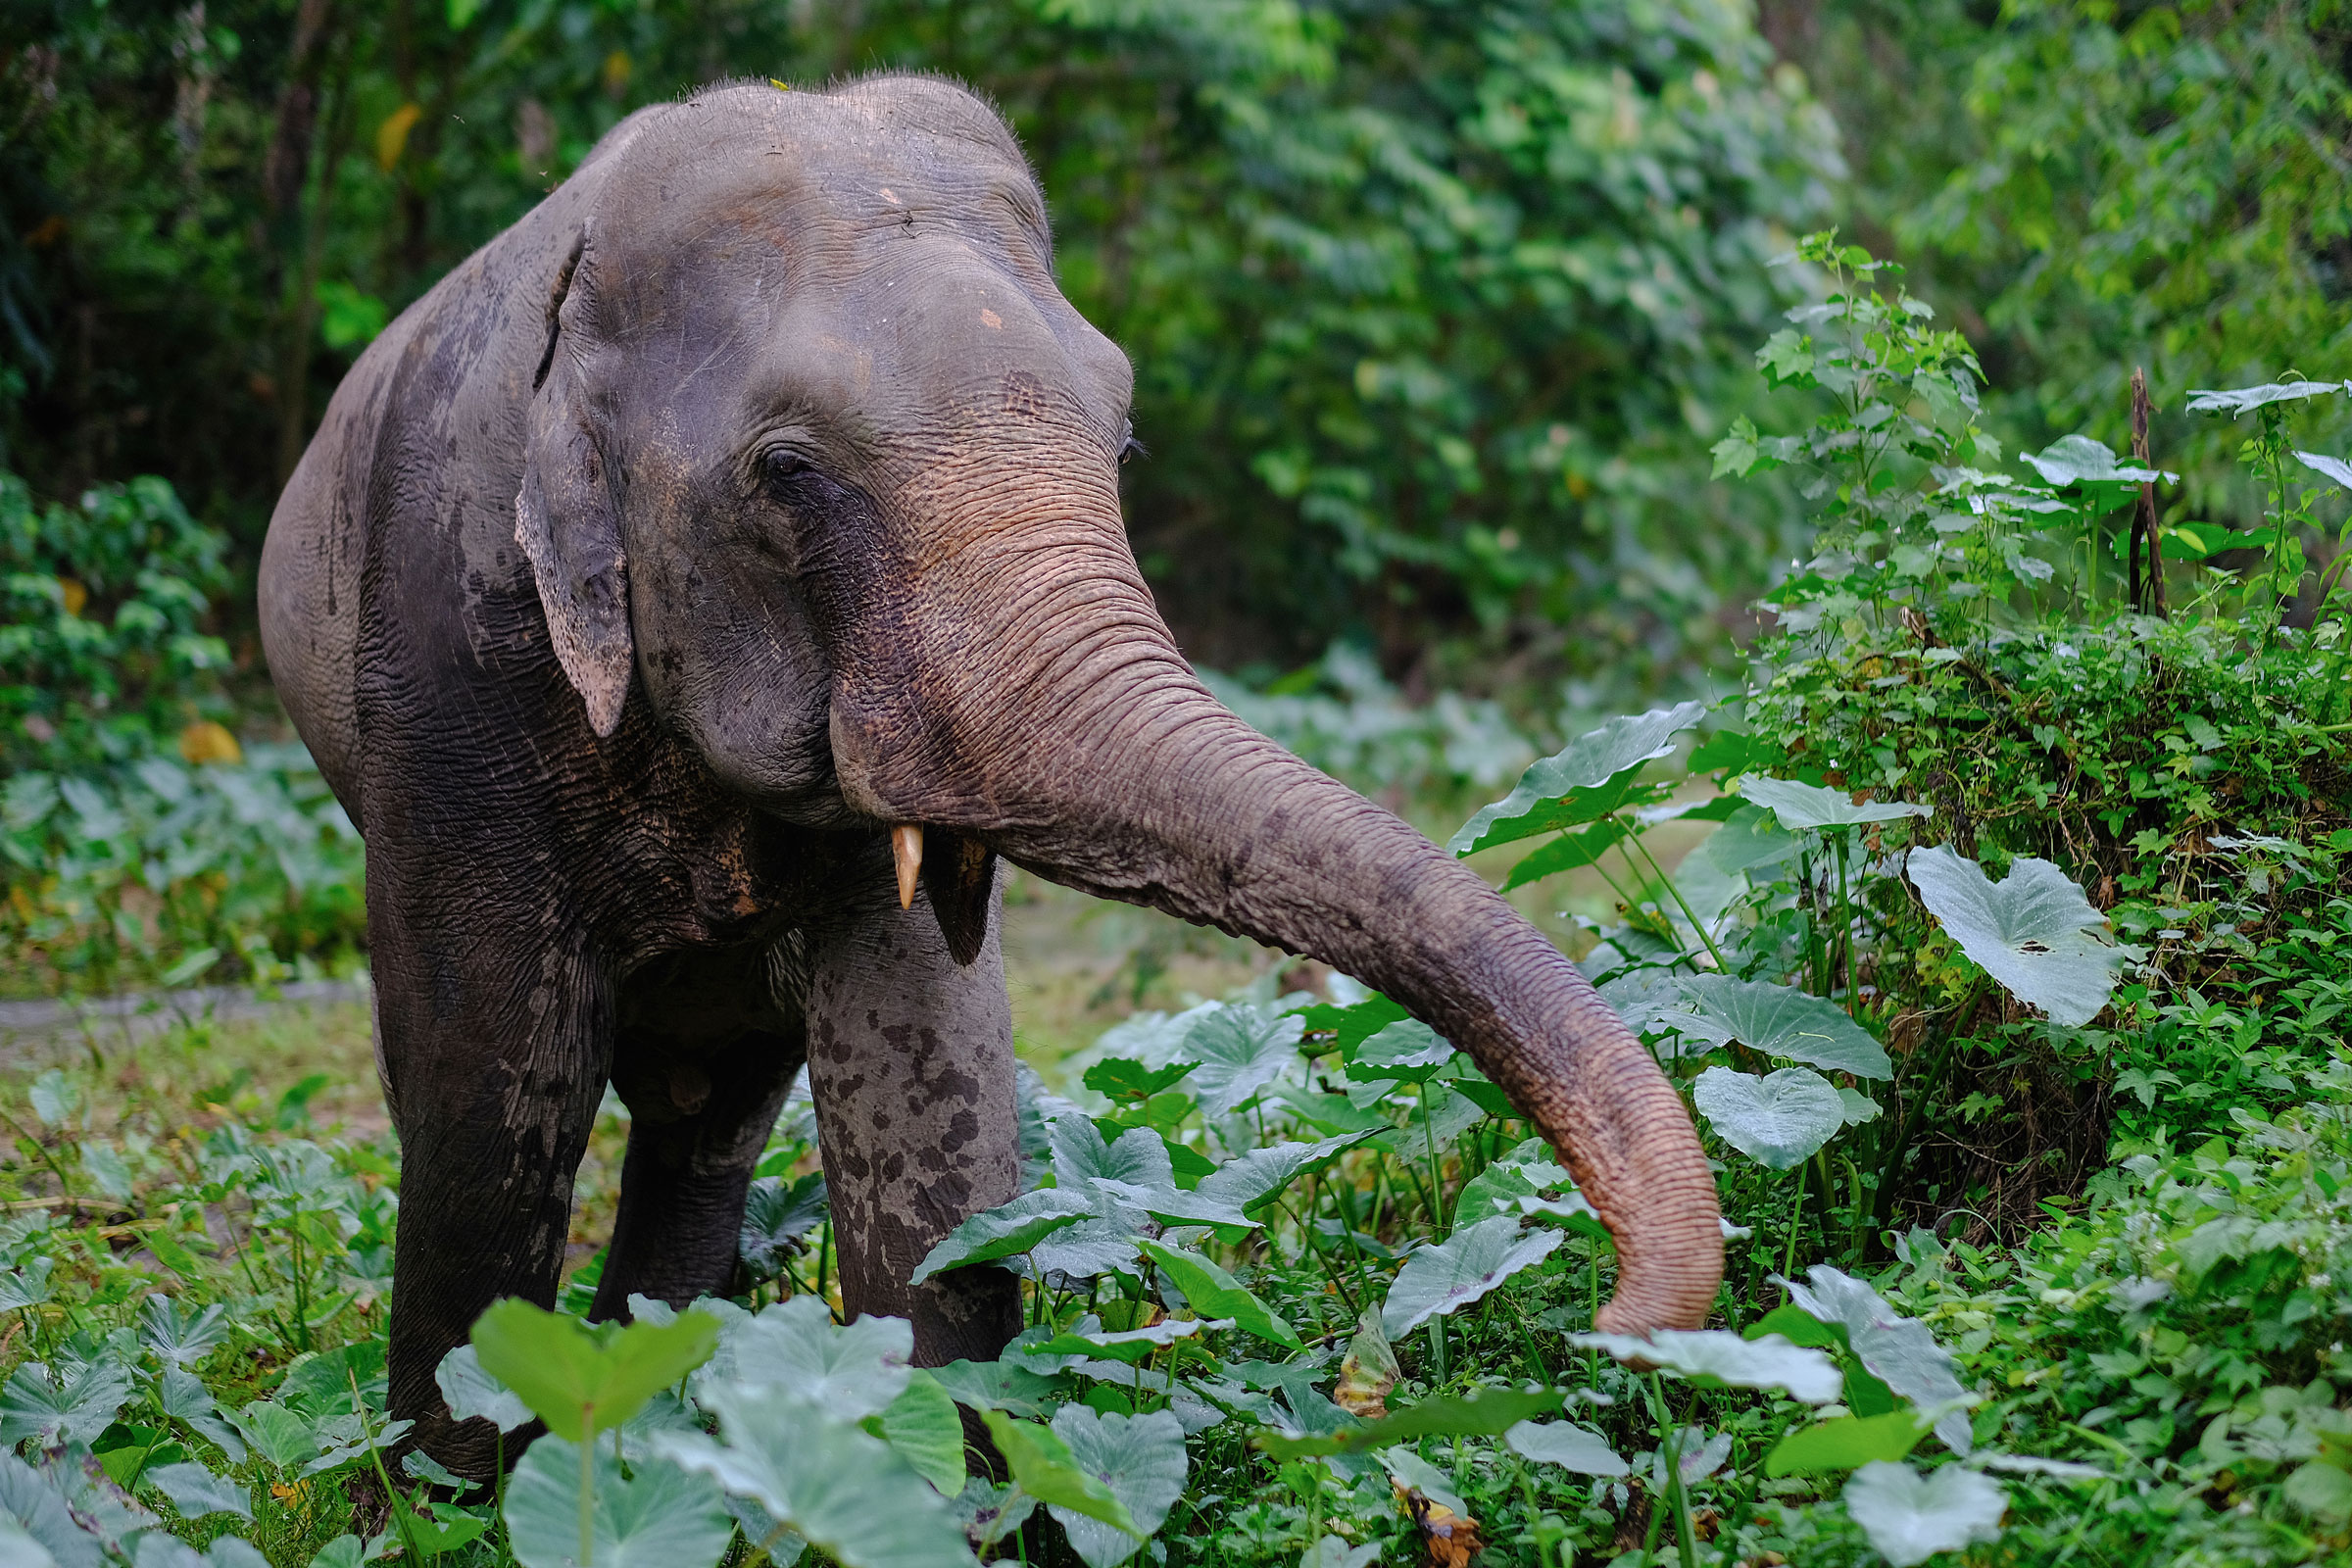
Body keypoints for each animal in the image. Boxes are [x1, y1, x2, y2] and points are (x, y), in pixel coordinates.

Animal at [258, 73, 1722, 1470]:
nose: (1611, 1325)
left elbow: (932, 1101)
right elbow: (493, 1116)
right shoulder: (448, 684)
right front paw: (452, 1490)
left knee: (711, 1113)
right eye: (786, 470)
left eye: (1123, 438)